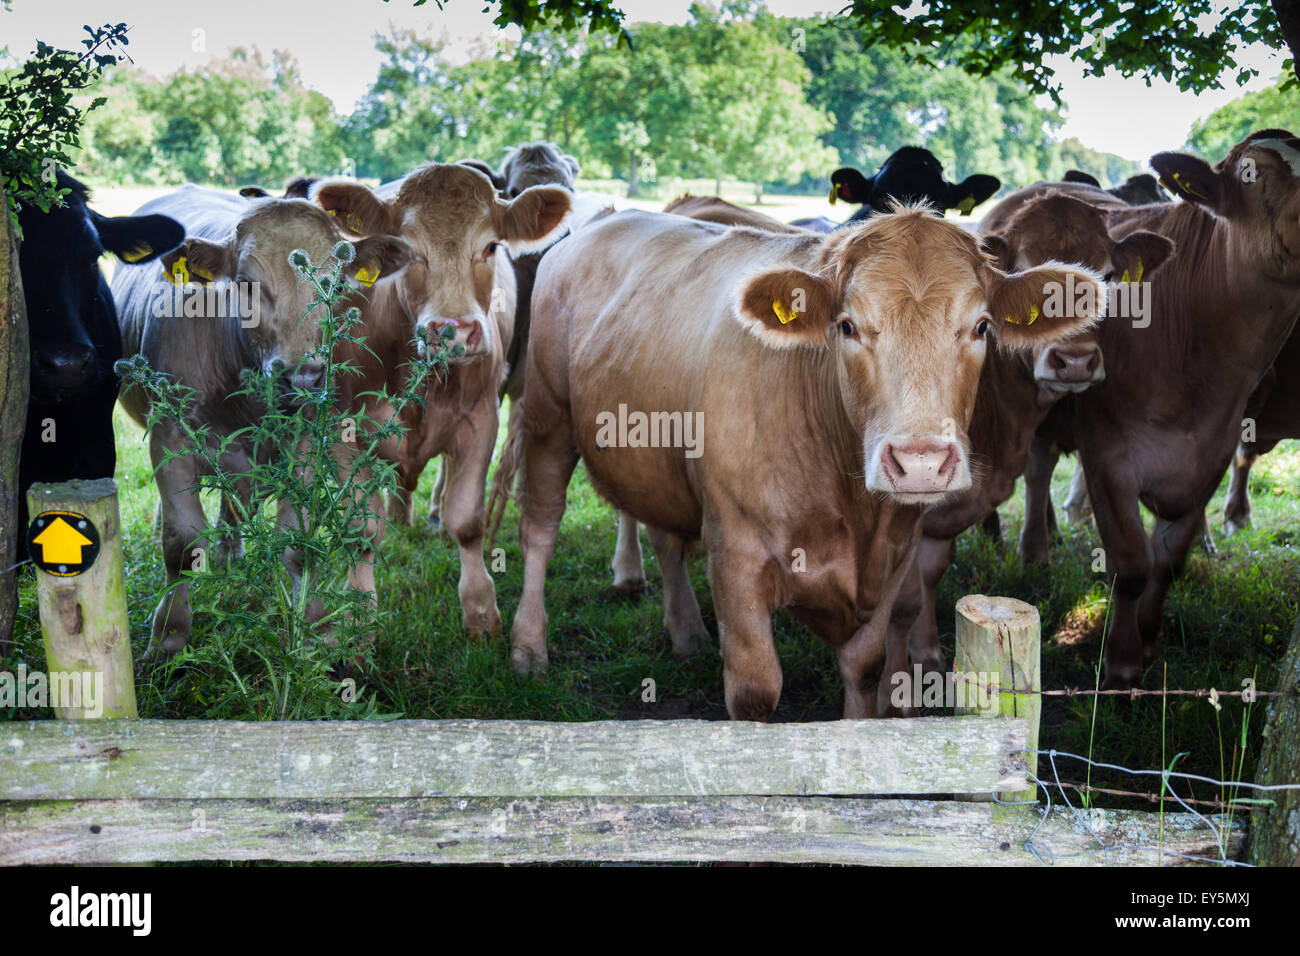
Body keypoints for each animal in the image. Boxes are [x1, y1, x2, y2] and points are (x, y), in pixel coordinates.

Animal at [504, 208, 1097, 717]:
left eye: (981, 327)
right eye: (847, 326)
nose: (921, 462)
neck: (850, 507)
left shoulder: (896, 554)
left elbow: (865, 668)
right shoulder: (735, 553)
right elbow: (755, 691)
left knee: (665, 537)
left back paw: (687, 632)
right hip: (547, 419)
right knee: (540, 528)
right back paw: (528, 648)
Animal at [1003, 132, 1300, 686]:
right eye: (1253, 173)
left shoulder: (1211, 455)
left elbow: (1167, 563)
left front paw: (1147, 643)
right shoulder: (1107, 454)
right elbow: (1131, 563)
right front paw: (1120, 662)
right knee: (1037, 468)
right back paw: (1035, 549)